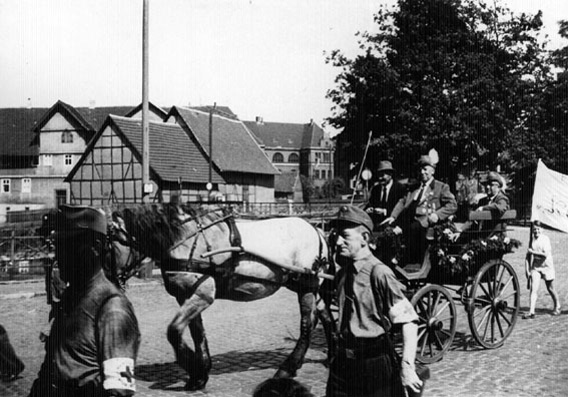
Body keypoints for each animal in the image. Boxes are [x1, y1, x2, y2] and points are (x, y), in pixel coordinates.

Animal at [106, 204, 338, 390]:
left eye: (112, 246)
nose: (111, 279)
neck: (184, 240)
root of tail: (317, 230)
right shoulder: (186, 296)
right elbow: (197, 333)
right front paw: (200, 374)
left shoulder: (203, 294)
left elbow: (174, 331)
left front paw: (193, 367)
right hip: (307, 286)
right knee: (325, 316)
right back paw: (332, 354)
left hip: (306, 285)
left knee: (307, 325)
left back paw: (287, 368)